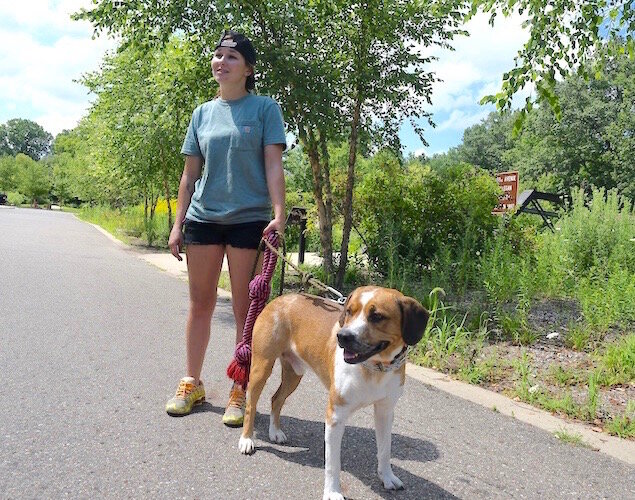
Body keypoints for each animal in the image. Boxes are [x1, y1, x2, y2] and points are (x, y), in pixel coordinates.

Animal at [240, 286, 432, 500]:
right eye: (349, 311)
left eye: (377, 316)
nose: (343, 336)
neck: (375, 368)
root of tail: (281, 298)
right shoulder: (336, 416)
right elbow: (333, 463)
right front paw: (332, 492)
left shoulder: (385, 411)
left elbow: (385, 449)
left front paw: (387, 477)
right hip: (261, 368)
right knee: (251, 404)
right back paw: (246, 439)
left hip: (294, 374)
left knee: (276, 399)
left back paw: (274, 432)